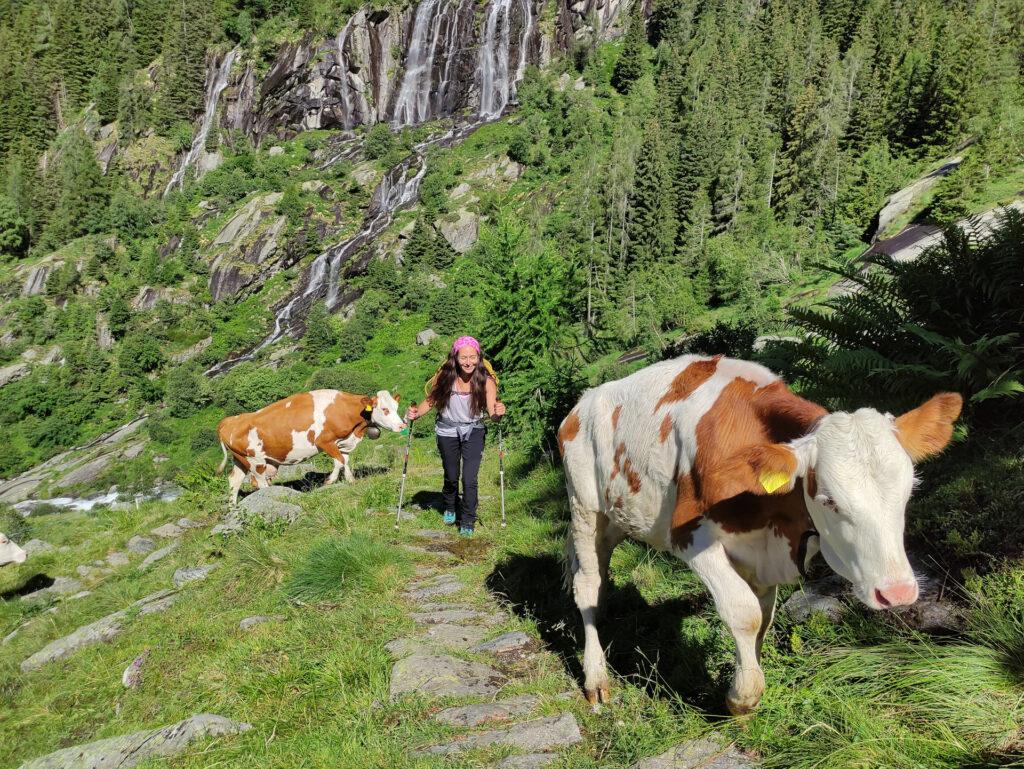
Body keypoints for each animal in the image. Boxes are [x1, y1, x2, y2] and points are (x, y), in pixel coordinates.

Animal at [218, 387, 405, 501]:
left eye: (396, 407)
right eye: (385, 409)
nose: (402, 425)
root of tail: (229, 421)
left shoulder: (344, 442)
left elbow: (345, 461)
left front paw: (350, 480)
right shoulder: (324, 441)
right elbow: (339, 461)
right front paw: (330, 481)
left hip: (240, 459)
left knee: (234, 480)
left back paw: (234, 509)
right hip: (255, 461)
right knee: (260, 482)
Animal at [561, 354, 958, 716]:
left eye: (909, 490)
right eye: (829, 501)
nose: (898, 592)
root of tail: (582, 402)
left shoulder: (764, 553)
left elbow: (763, 617)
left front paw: (749, 676)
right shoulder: (689, 537)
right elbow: (744, 612)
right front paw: (742, 697)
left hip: (617, 518)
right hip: (584, 508)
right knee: (588, 585)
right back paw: (596, 677)